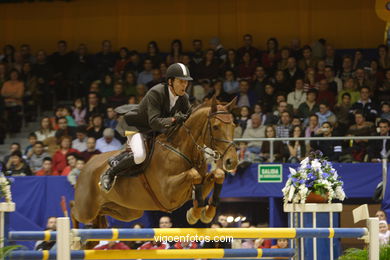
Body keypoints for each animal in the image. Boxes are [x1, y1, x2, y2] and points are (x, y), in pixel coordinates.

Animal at [71, 96, 239, 229]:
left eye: (233, 126)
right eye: (216, 127)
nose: (232, 162)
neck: (181, 148)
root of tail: (87, 164)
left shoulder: (200, 186)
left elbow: (218, 174)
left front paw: (205, 213)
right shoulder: (168, 192)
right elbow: (193, 174)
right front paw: (195, 213)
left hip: (129, 211)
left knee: (102, 212)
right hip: (86, 209)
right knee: (74, 210)